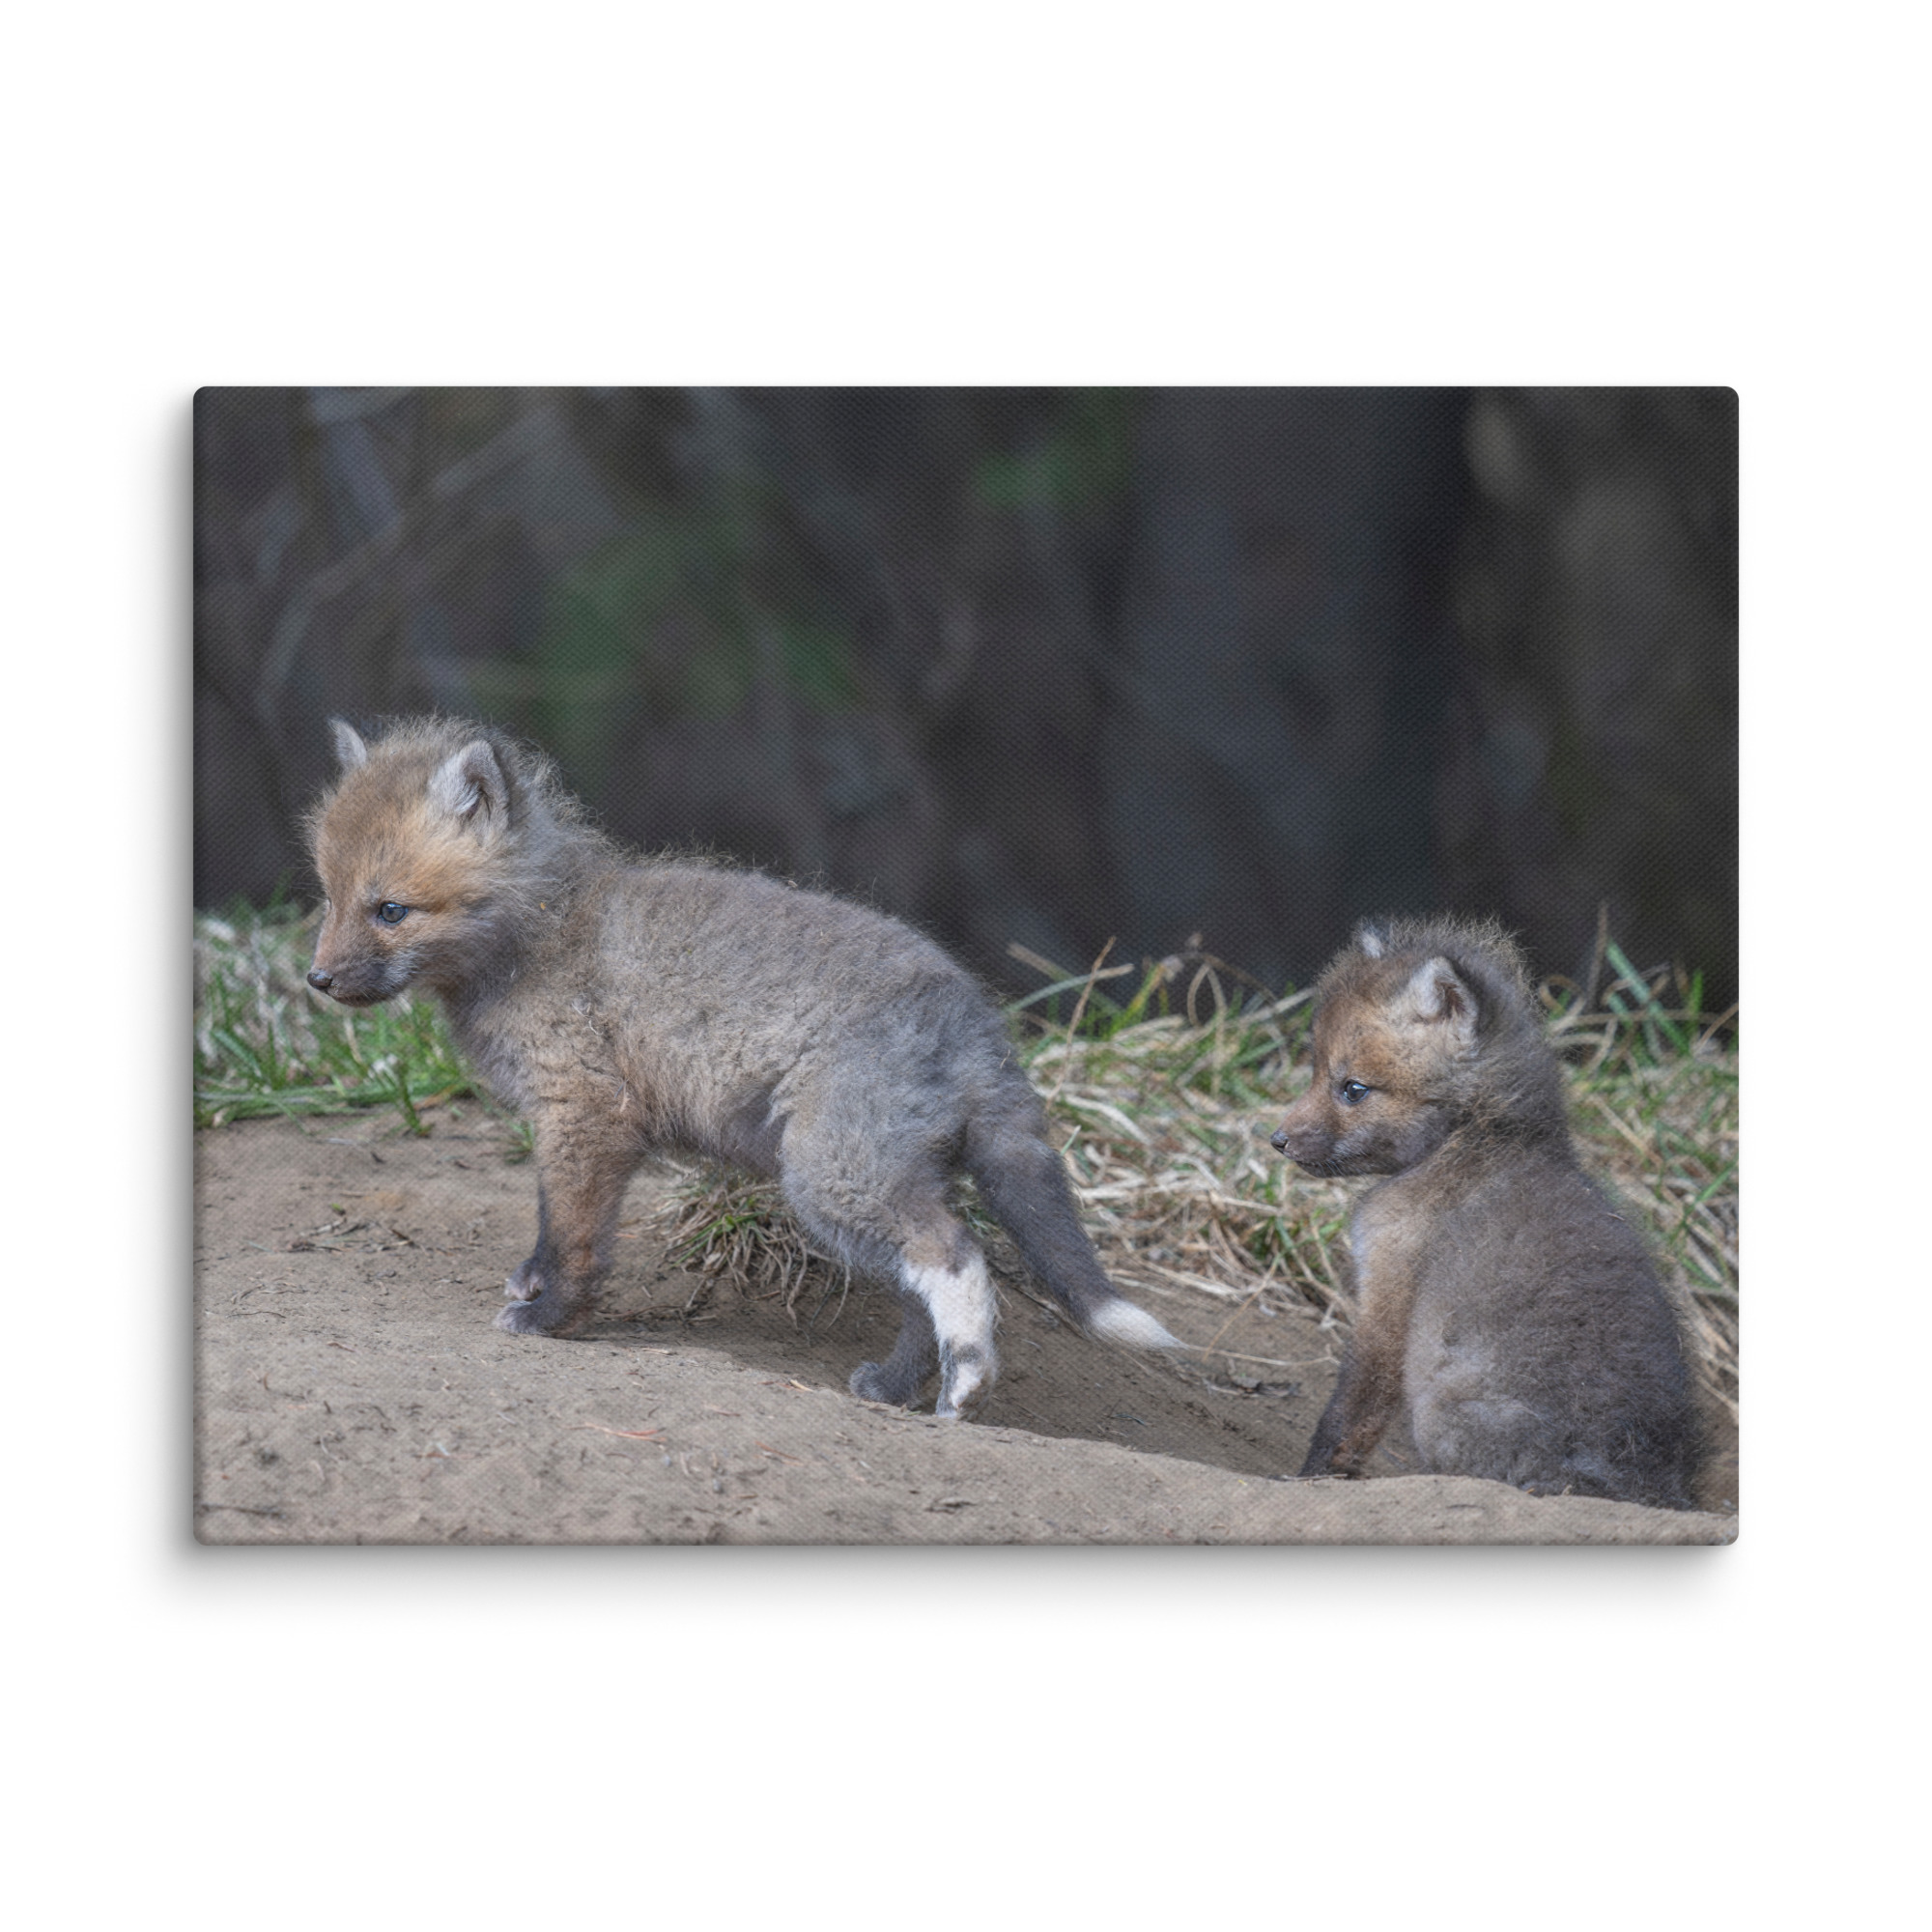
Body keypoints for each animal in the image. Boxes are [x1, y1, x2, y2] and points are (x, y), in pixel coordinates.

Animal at [304, 715, 1180, 1419]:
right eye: (329, 898)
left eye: (391, 910)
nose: (315, 981)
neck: (541, 932)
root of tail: (977, 1019)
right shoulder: (579, 1125)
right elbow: (553, 1225)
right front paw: (535, 1286)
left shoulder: (586, 1114)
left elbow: (573, 1235)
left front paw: (552, 1318)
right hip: (872, 1186)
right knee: (918, 1291)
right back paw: (897, 1389)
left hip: (832, 1178)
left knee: (956, 1256)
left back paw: (966, 1385)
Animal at [1269, 916, 1697, 1508]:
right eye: (1315, 1072)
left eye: (1353, 1089)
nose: (1277, 1140)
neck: (1476, 1139)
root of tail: (1642, 1484)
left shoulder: (1388, 1294)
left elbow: (1348, 1415)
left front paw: (1309, 1481)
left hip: (1439, 1413)